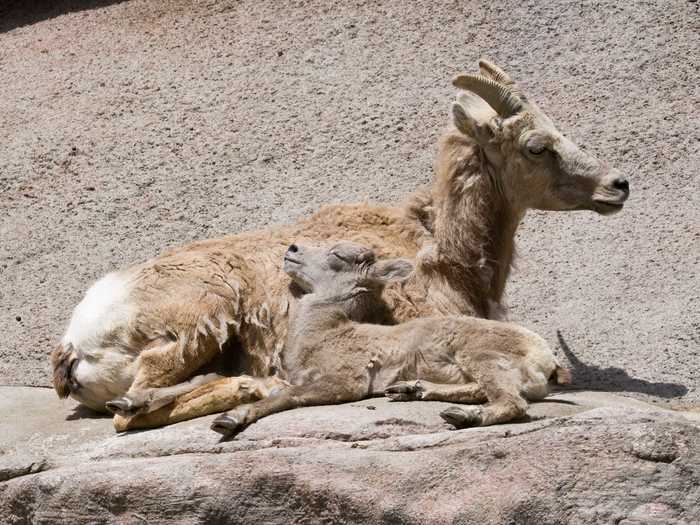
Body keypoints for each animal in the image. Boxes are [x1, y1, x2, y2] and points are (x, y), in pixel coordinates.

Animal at [208, 239, 568, 436]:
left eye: (338, 255)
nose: (292, 249)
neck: (325, 333)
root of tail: (546, 358)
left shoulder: (342, 382)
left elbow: (284, 397)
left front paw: (228, 420)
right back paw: (411, 390)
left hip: (481, 356)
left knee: (510, 401)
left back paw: (463, 417)